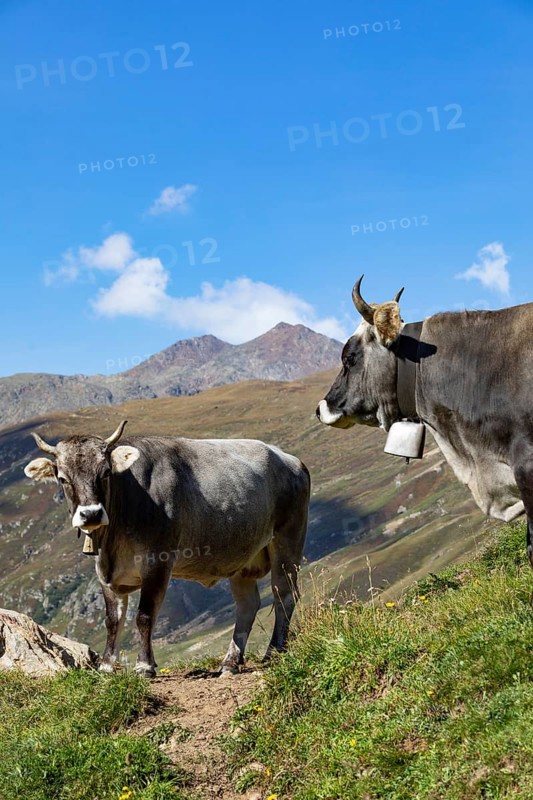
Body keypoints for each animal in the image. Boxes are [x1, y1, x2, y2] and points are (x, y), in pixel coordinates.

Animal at [24, 421, 310, 677]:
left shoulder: (157, 562)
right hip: (242, 556)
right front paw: (106, 666)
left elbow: (144, 616)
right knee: (248, 605)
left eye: (105, 472)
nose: (91, 514)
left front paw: (144, 666)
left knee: (284, 594)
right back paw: (230, 663)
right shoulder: (105, 571)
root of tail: (292, 460)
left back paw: (274, 651)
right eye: (62, 478)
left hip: (287, 541)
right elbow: (112, 619)